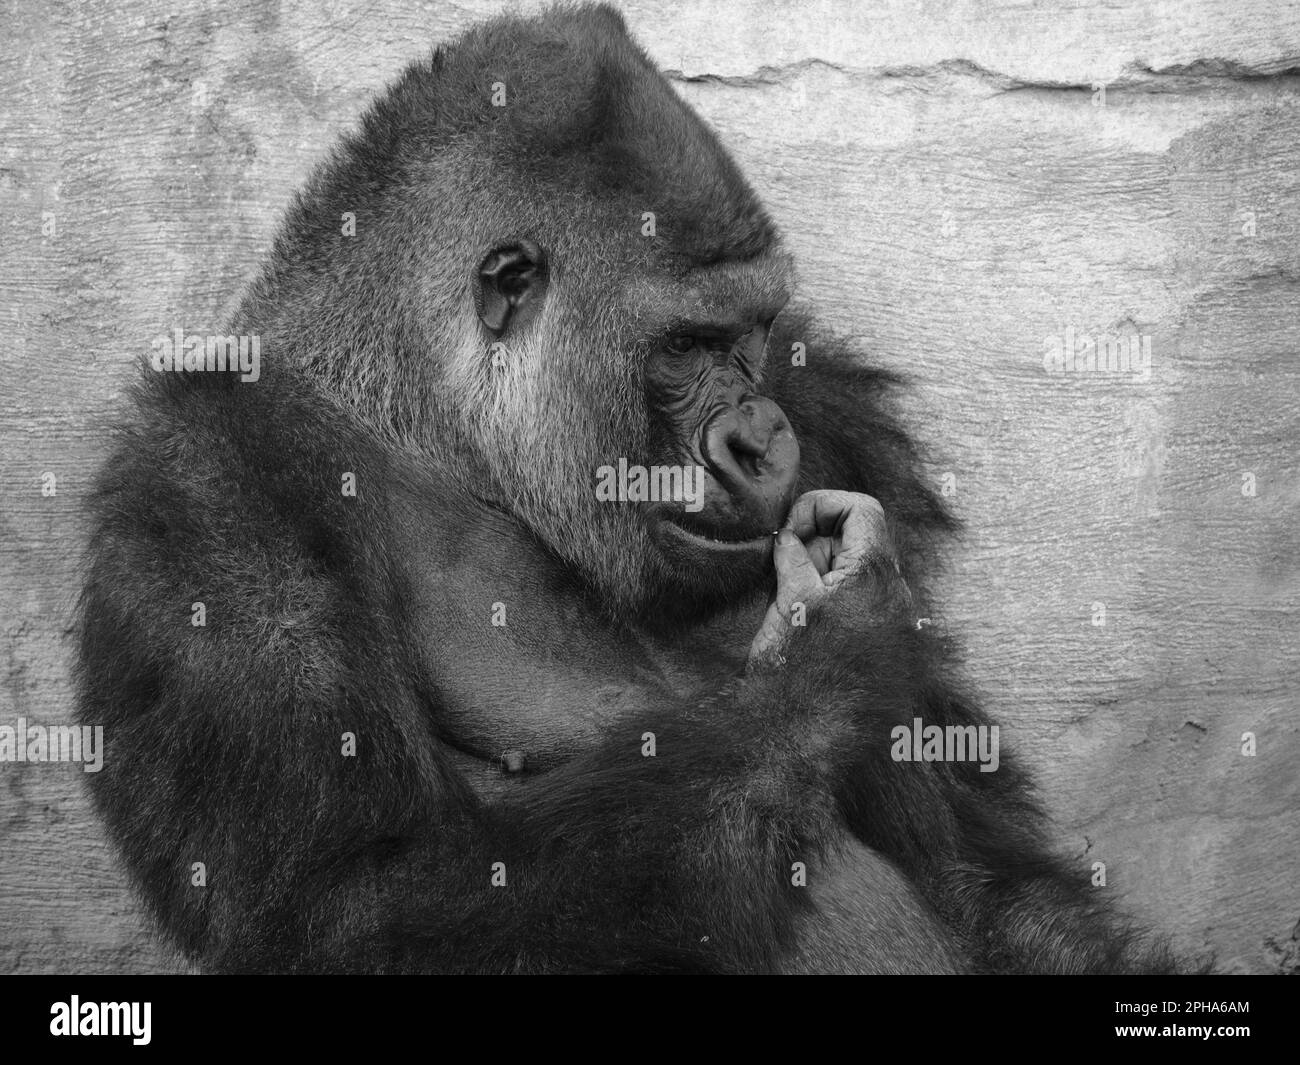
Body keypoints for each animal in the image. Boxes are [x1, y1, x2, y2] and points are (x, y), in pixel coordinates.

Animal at [76, 3, 1182, 974]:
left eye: (753, 332)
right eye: (684, 346)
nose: (761, 437)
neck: (427, 428)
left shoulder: (832, 412)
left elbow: (989, 882)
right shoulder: (211, 499)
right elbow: (360, 900)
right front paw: (826, 668)